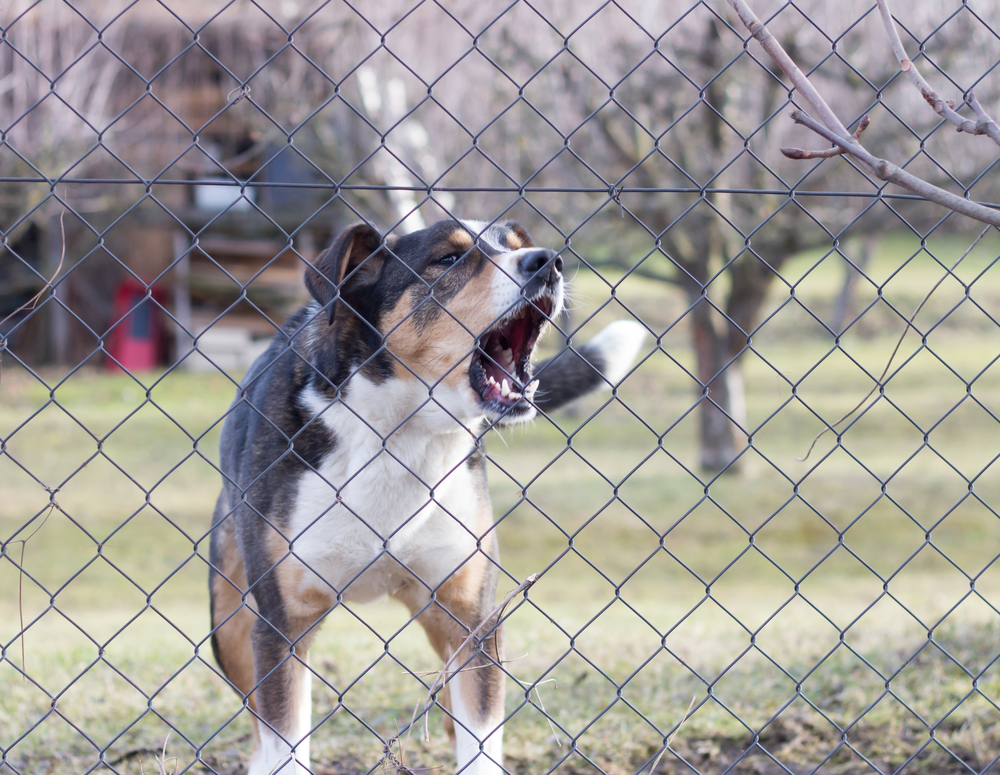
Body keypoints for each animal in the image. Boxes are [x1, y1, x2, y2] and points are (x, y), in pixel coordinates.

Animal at [211, 218, 648, 775]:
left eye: (515, 246)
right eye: (448, 260)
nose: (548, 262)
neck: (398, 436)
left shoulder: (473, 618)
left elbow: (480, 741)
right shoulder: (281, 628)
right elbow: (284, 743)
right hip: (230, 625)